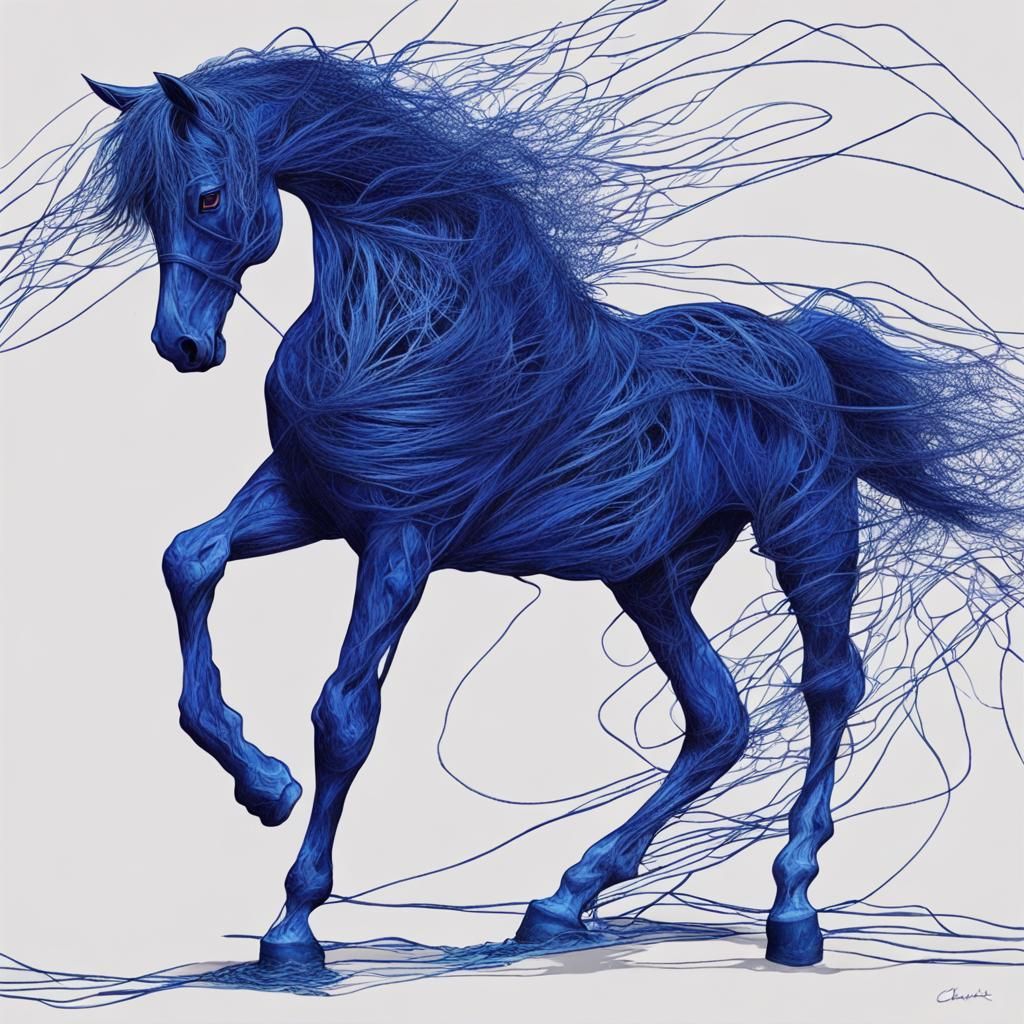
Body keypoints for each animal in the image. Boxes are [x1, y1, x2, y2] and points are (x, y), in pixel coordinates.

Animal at [71, 46, 1018, 973]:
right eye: (148, 209)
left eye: (206, 195)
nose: (182, 345)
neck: (410, 323)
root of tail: (800, 342)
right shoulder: (311, 500)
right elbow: (189, 557)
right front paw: (263, 785)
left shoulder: (403, 535)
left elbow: (344, 715)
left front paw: (294, 924)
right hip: (652, 574)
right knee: (718, 718)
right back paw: (563, 900)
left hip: (807, 537)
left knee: (830, 684)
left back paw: (792, 910)